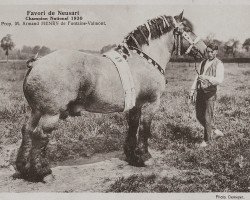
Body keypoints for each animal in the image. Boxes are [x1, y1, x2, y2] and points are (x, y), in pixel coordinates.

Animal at [16, 12, 207, 181]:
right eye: (187, 29)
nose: (208, 50)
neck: (144, 59)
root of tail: (37, 63)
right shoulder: (152, 103)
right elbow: (145, 128)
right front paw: (145, 156)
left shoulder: (136, 104)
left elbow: (133, 125)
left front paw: (133, 156)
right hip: (50, 113)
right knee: (40, 135)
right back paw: (42, 172)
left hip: (36, 110)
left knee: (27, 130)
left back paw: (23, 168)